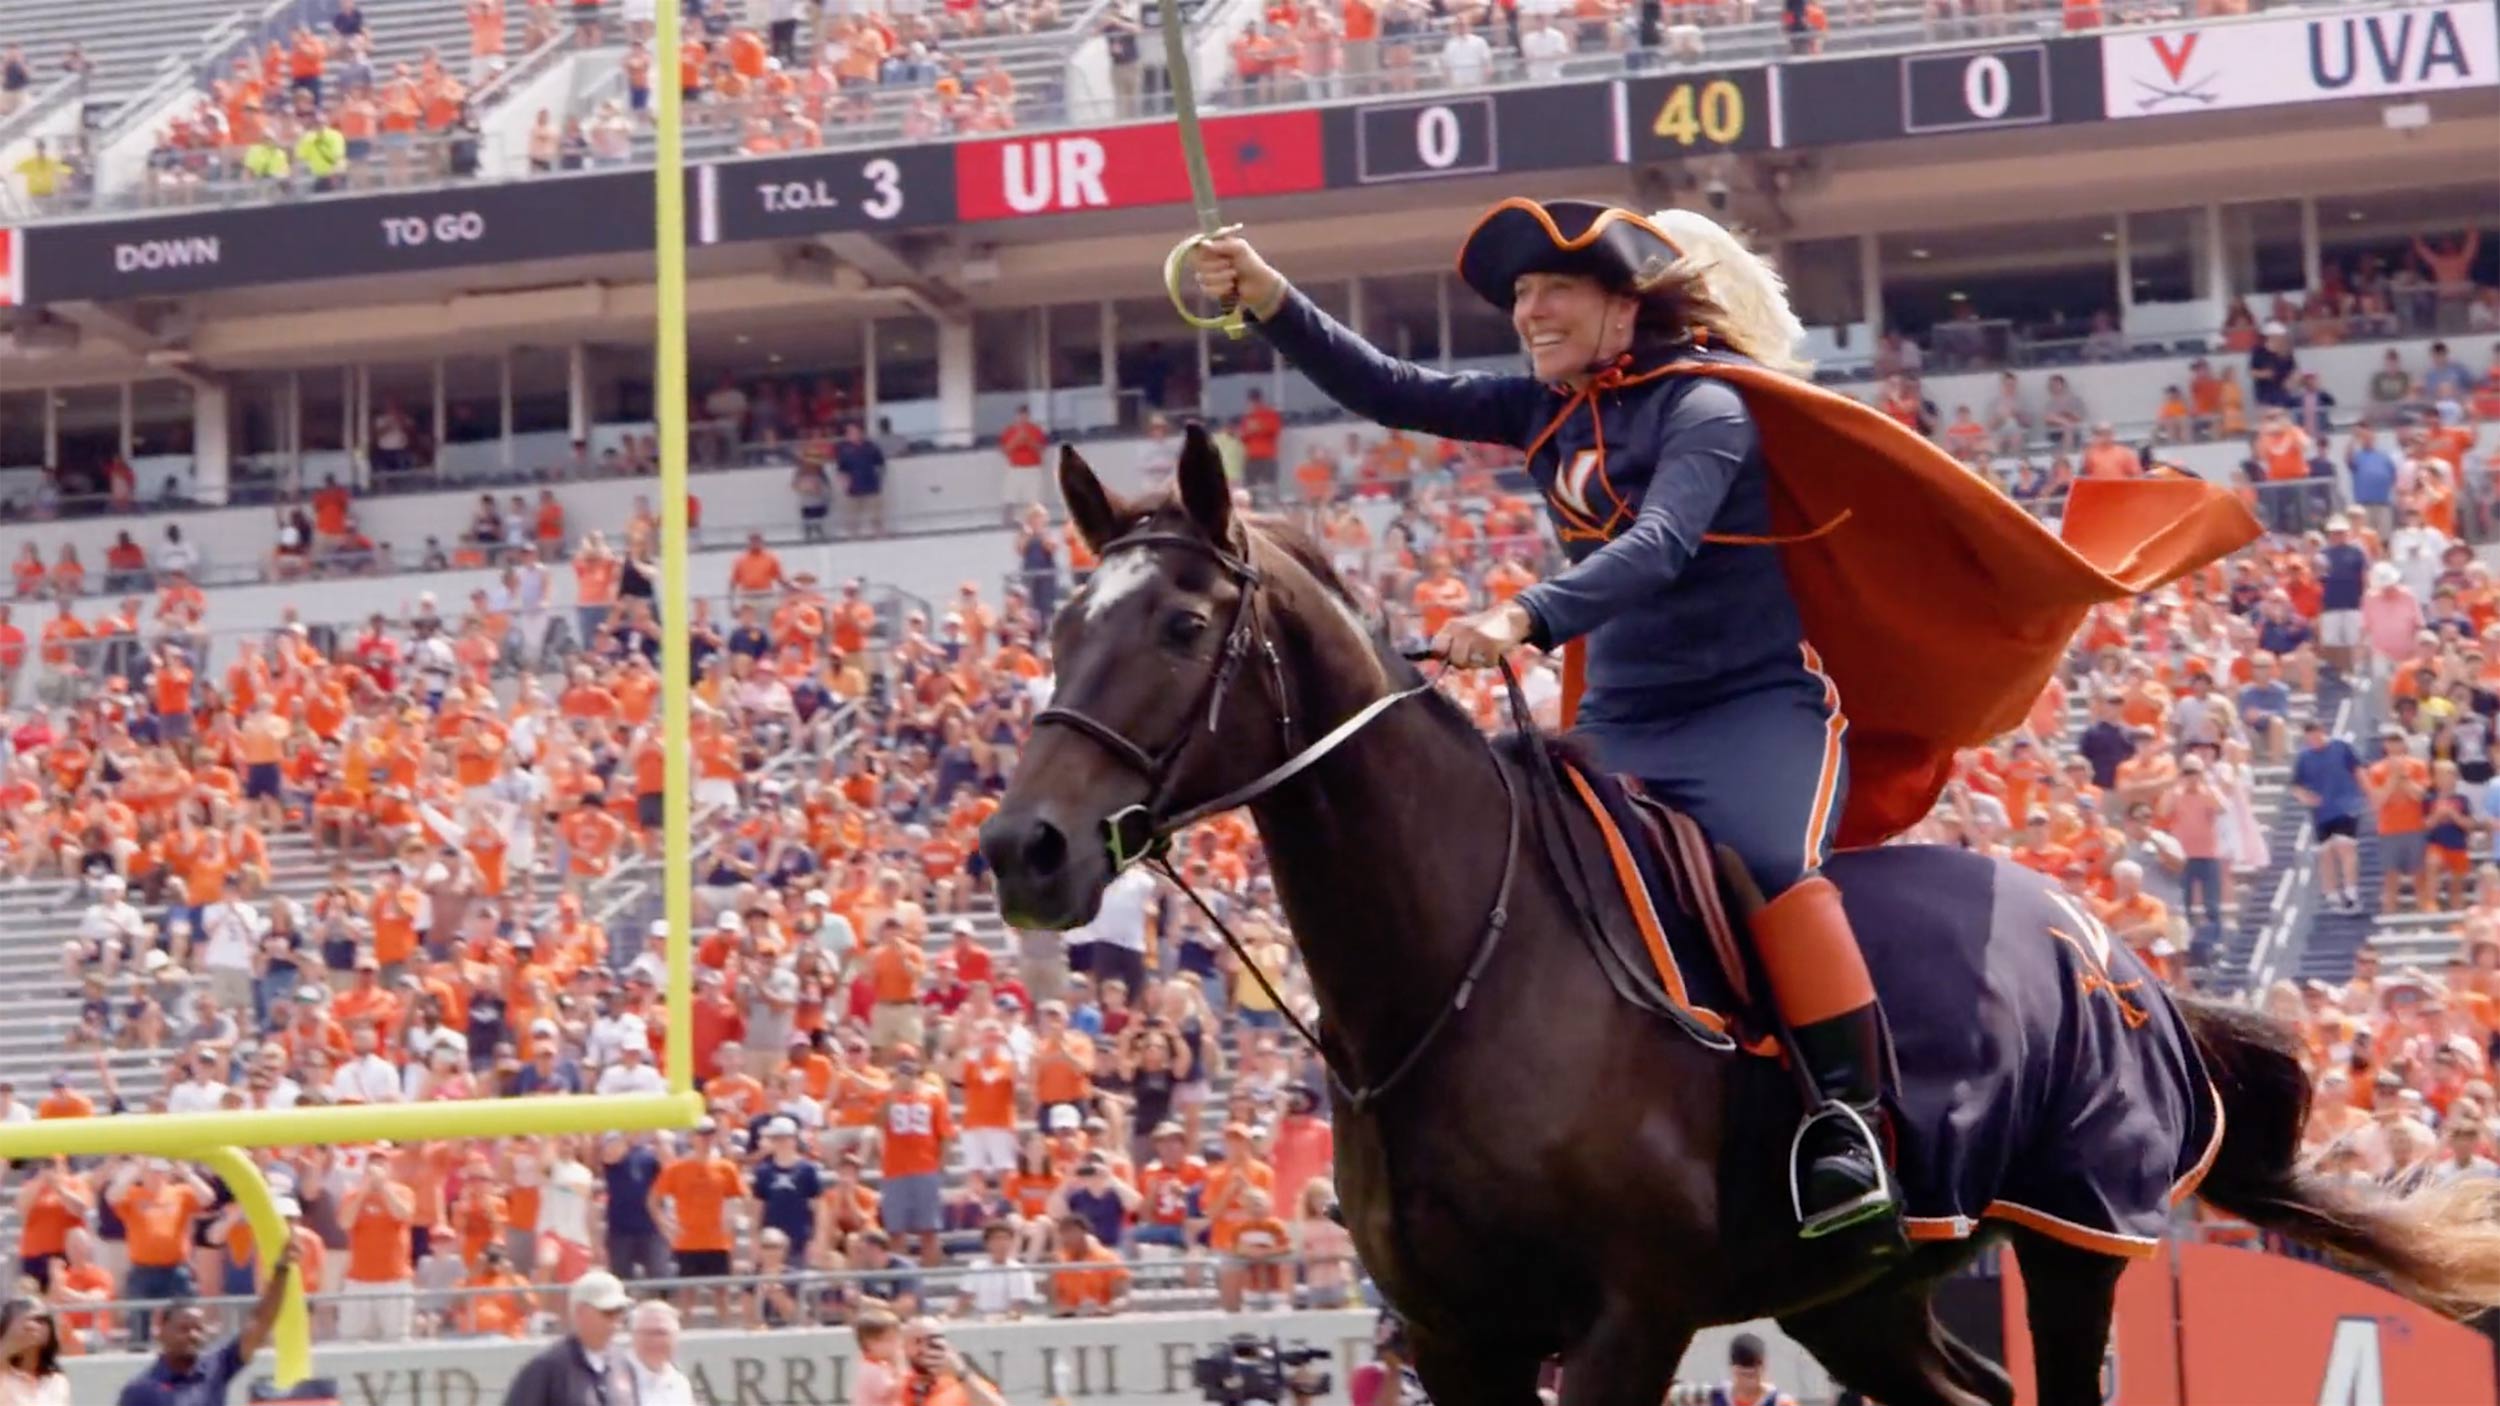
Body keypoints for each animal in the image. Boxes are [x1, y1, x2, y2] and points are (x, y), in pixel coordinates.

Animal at [980, 430, 2500, 1400]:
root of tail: (2113, 953)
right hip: (1866, 1296)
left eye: (1182, 626)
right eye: (1058, 626)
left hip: (2075, 1241)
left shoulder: (1626, 1318)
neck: (1454, 973)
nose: (1022, 848)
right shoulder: (1461, 1338)